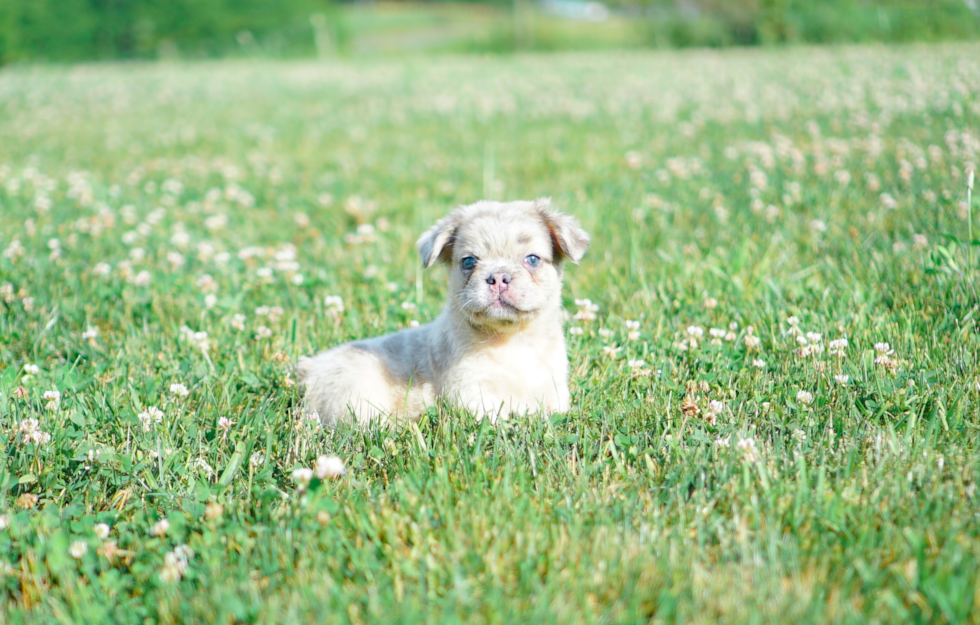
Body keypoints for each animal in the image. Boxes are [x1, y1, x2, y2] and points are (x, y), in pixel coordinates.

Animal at [298, 197, 584, 426]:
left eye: (532, 259)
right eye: (468, 262)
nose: (498, 277)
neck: (511, 340)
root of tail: (311, 368)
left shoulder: (552, 389)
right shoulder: (472, 392)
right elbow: (493, 420)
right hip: (357, 395)